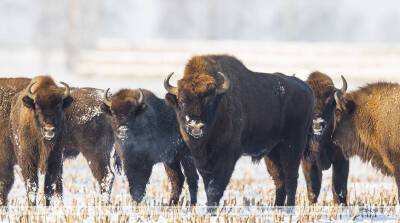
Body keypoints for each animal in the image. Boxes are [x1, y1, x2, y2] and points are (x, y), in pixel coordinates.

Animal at [9, 76, 72, 206]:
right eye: (37, 106)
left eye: (59, 106)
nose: (49, 129)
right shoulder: (28, 161)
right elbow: (32, 187)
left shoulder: (55, 160)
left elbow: (49, 188)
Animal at [164, 54, 314, 206]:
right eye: (182, 101)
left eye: (209, 101)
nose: (195, 126)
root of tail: (306, 89)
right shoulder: (202, 160)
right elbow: (208, 186)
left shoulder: (227, 156)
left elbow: (215, 188)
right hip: (272, 152)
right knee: (279, 179)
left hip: (293, 146)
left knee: (291, 178)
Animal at [302, 72, 348, 205]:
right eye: (311, 101)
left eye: (330, 102)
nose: (318, 124)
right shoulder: (308, 161)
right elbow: (313, 189)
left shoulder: (341, 159)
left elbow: (339, 188)